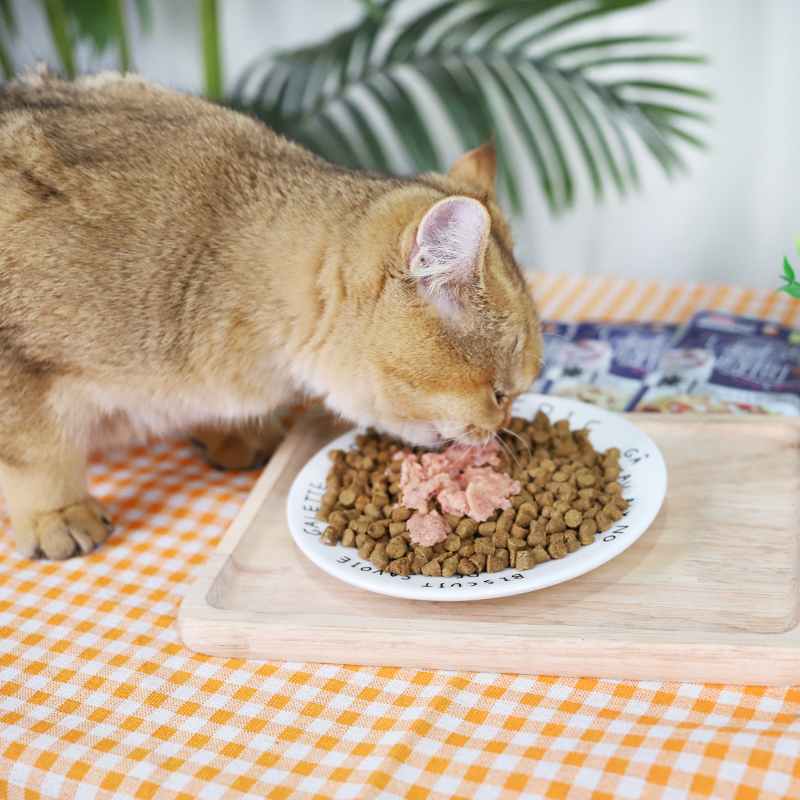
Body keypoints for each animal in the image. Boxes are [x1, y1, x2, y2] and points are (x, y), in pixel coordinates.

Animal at [0, 70, 544, 556]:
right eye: (499, 394)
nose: (502, 429)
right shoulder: (21, 370)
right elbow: (38, 451)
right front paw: (56, 512)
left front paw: (231, 432)